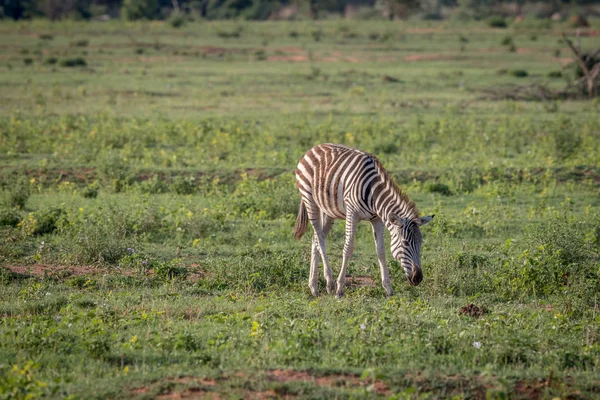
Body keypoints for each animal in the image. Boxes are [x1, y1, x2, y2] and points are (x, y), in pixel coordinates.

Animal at [294, 144, 432, 296]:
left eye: (421, 243)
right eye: (405, 243)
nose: (418, 278)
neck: (374, 195)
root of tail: (314, 147)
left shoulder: (377, 219)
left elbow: (381, 251)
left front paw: (388, 288)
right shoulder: (352, 213)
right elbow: (348, 248)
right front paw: (339, 288)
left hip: (328, 210)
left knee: (315, 238)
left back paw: (313, 287)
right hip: (310, 200)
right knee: (320, 239)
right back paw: (329, 283)